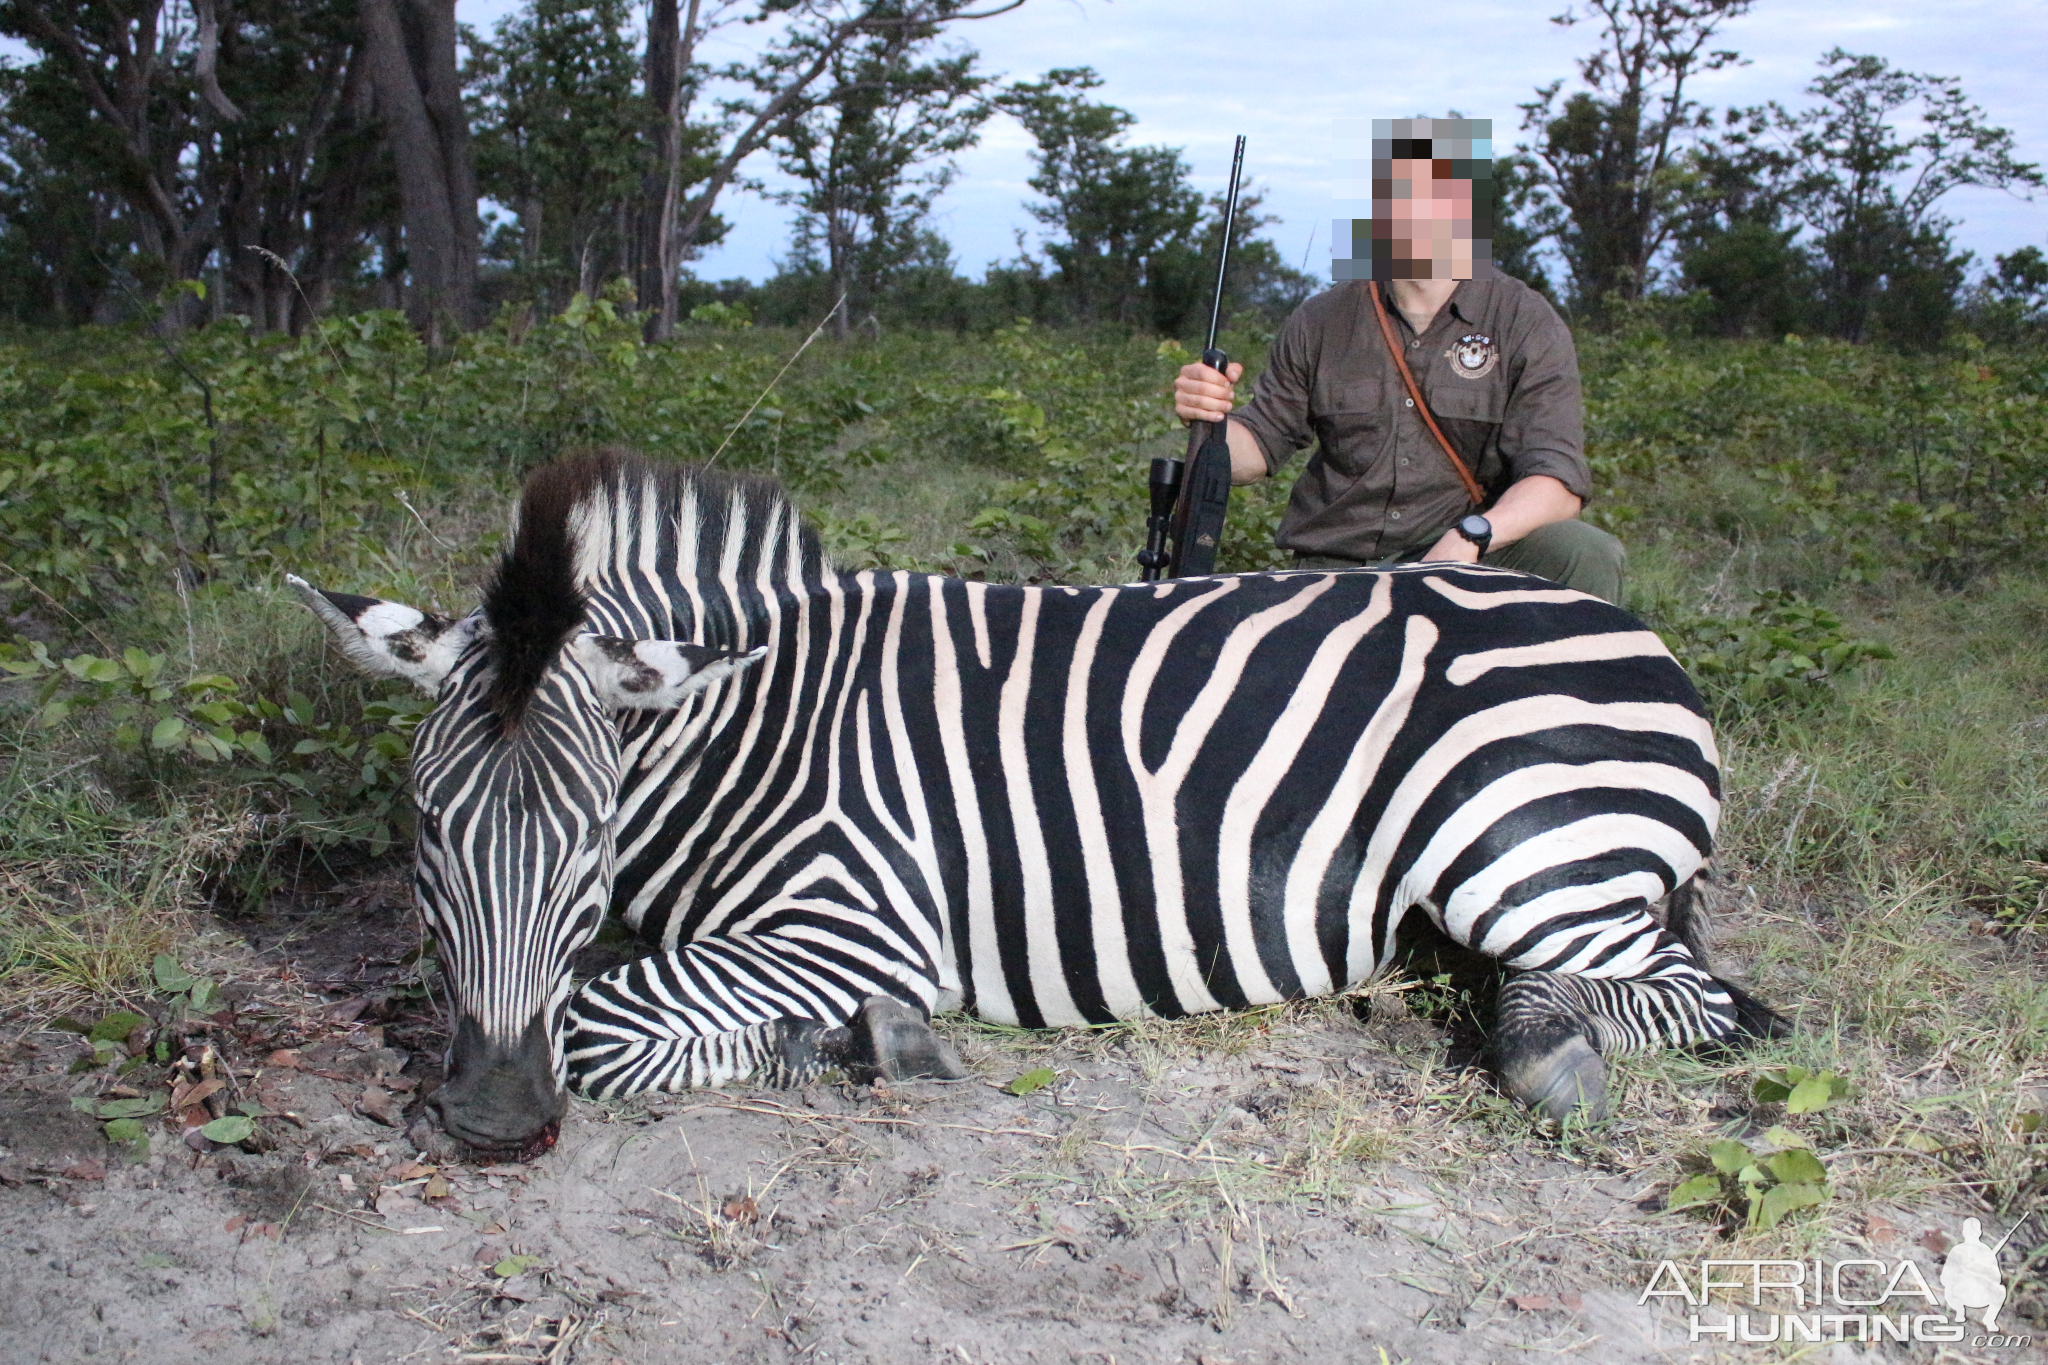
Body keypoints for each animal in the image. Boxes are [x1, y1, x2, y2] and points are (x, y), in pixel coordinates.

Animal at [288, 450, 1777, 1154]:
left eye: (590, 837)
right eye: (427, 831)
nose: (491, 1124)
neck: (748, 727)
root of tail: (1641, 635)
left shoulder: (858, 913)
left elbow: (602, 1015)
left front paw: (860, 1043)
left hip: (1525, 847)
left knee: (1710, 1008)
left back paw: (1550, 1053)